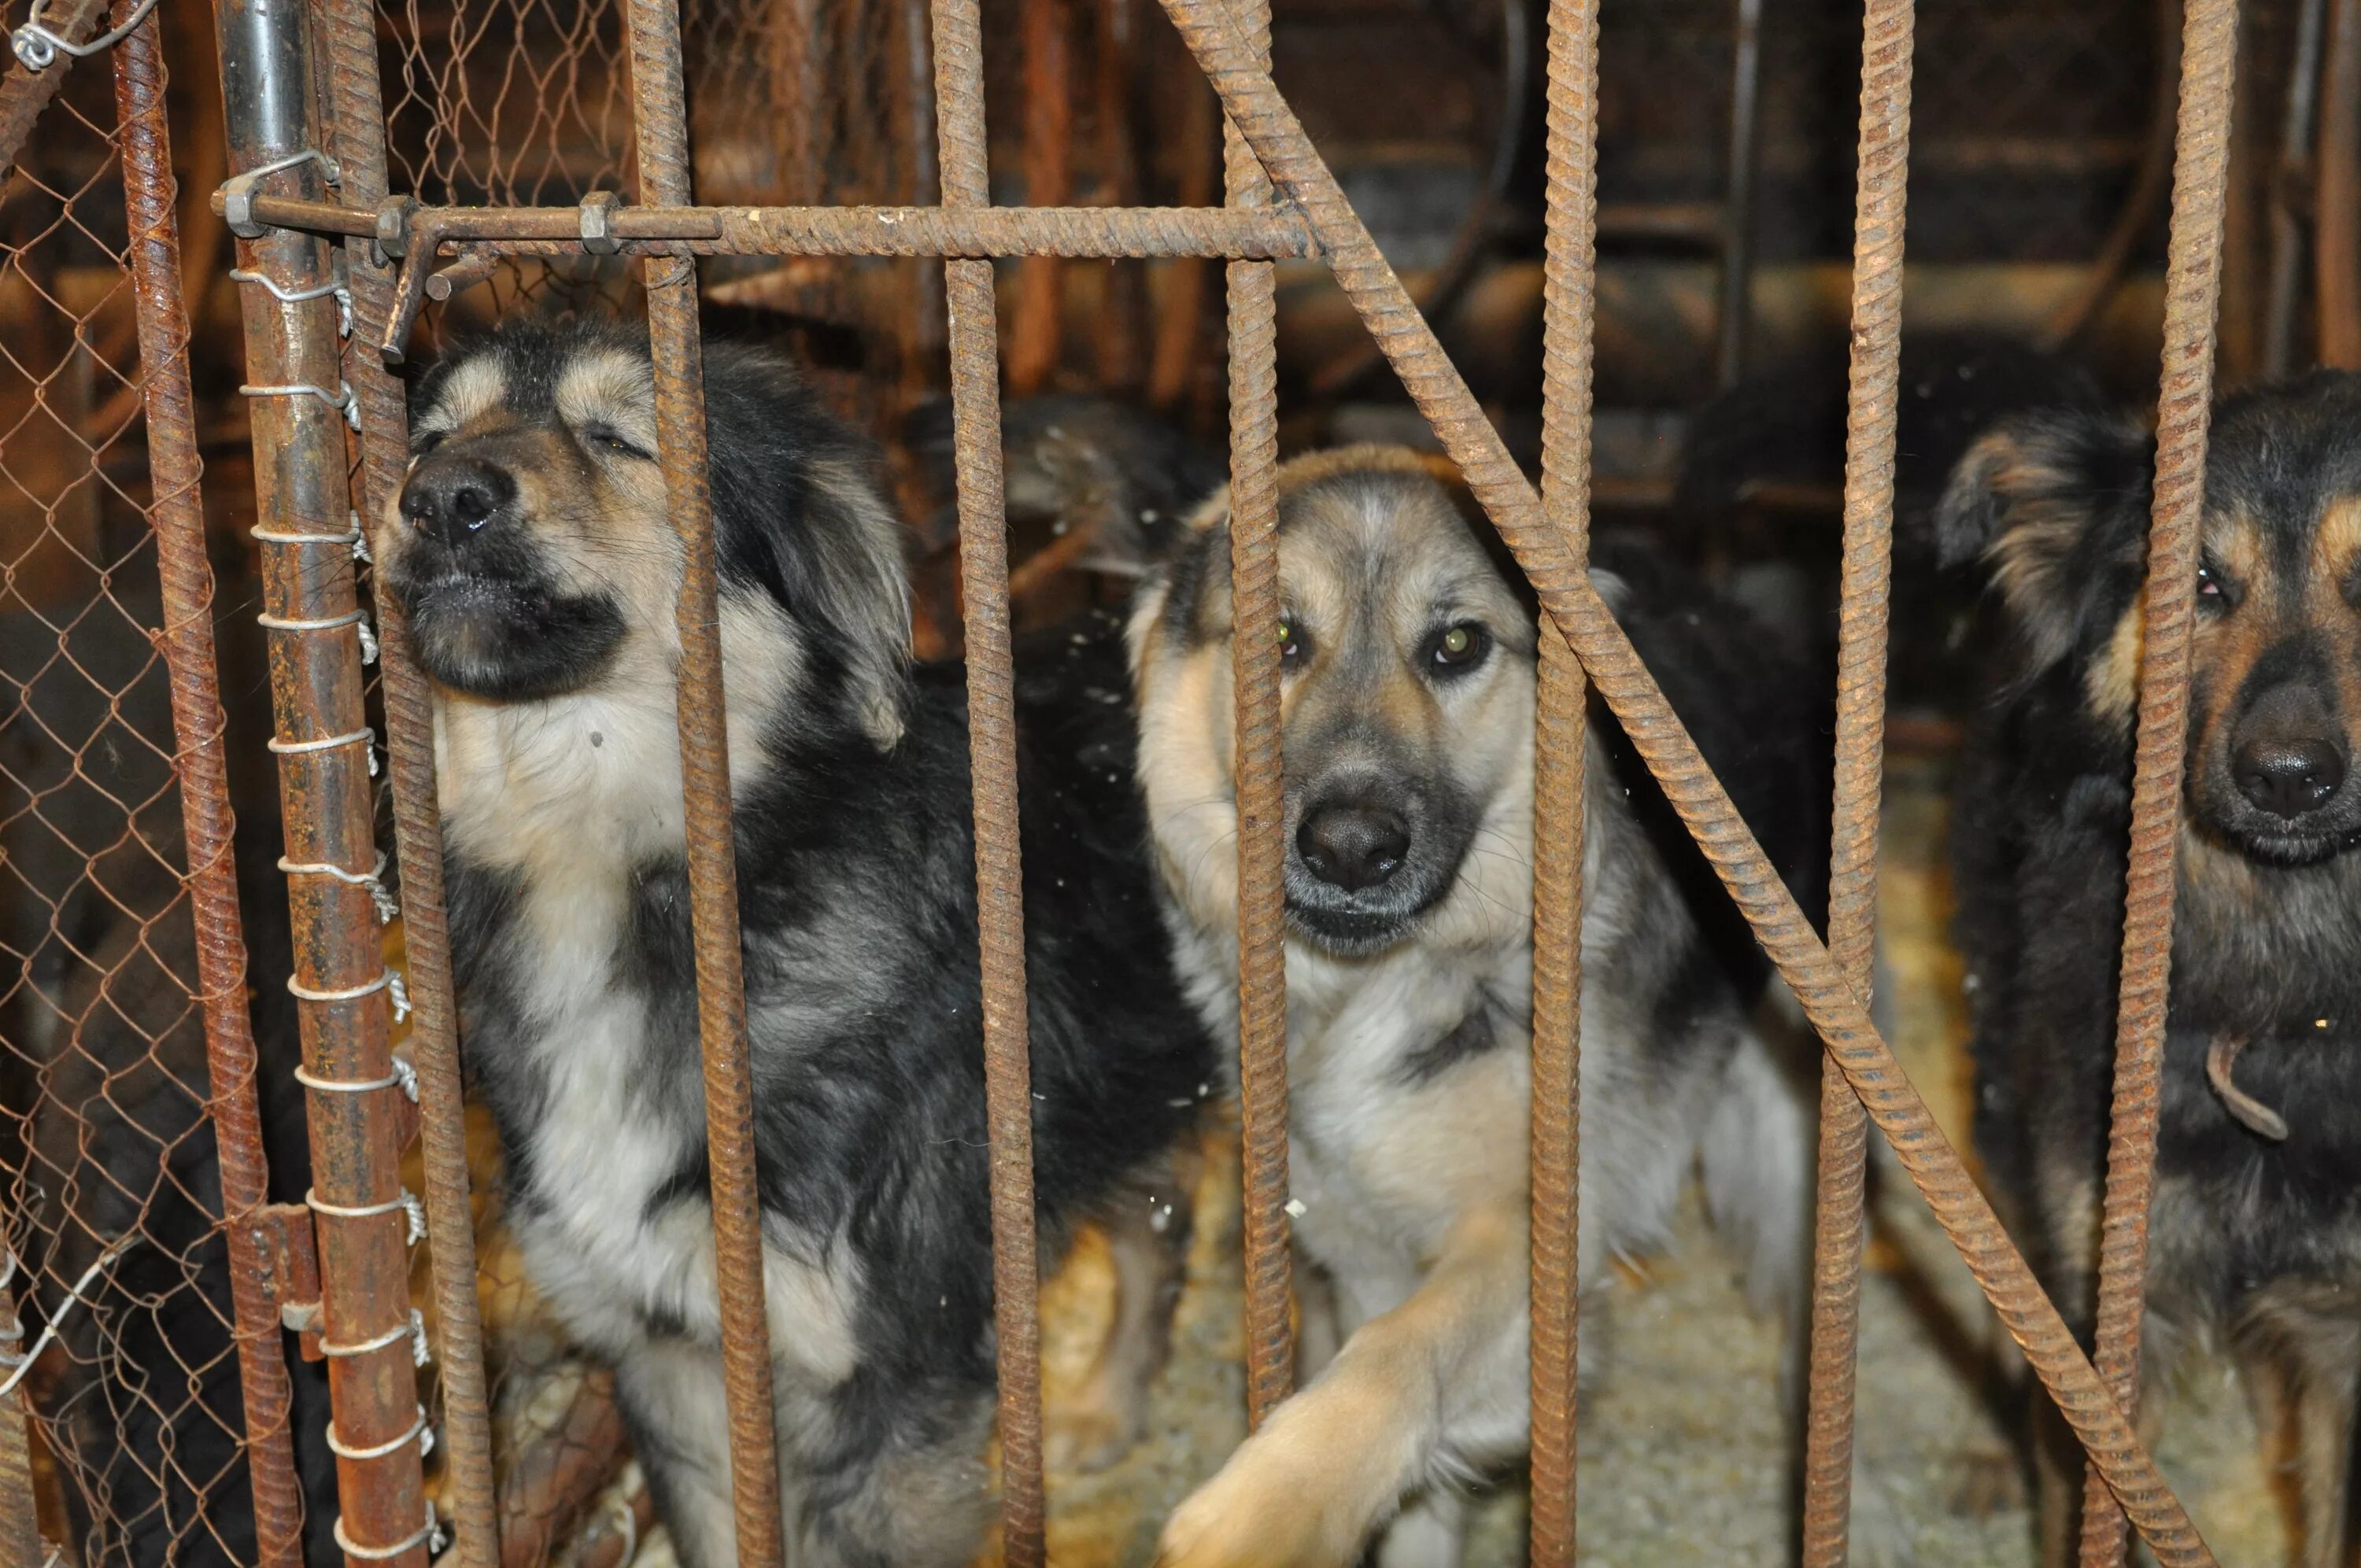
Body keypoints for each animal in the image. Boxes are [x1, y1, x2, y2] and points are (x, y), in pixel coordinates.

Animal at [373, 319, 1218, 1568]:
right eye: (430, 437)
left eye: (624, 438)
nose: (438, 499)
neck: (602, 876)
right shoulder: (670, 1363)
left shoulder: (895, 1395)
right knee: (1157, 1219)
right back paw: (1111, 1406)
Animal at [1124, 446, 1823, 1558]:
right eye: (1279, 638)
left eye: (1456, 645)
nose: (1350, 849)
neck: (1380, 987)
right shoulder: (1361, 1246)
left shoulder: (1528, 1236)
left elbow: (1396, 1354)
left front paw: (1272, 1504)